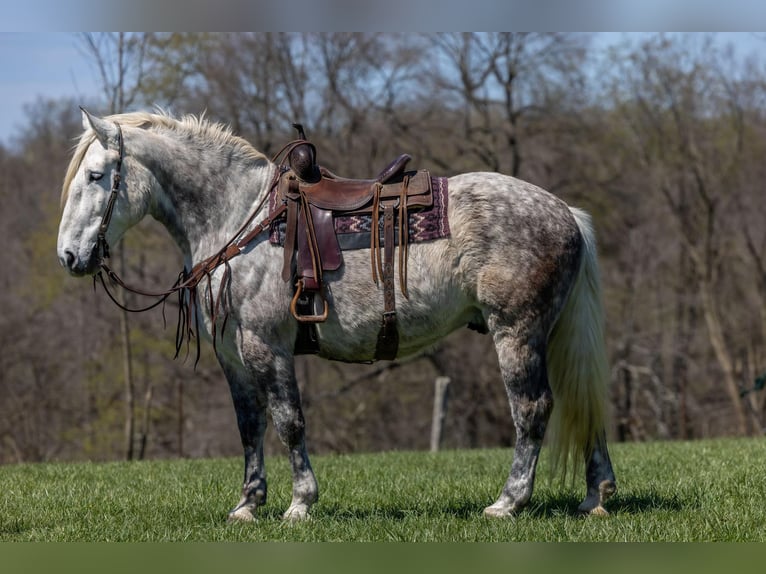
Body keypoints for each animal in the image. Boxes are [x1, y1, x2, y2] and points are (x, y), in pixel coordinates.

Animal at [57, 110, 616, 524]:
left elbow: (289, 422)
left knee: (533, 409)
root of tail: (565, 212)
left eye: (95, 176)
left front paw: (300, 503)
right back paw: (597, 496)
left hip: (516, 333)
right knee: (582, 400)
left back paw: (508, 502)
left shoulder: (267, 346)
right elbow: (249, 425)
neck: (238, 217)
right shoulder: (233, 355)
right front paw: (248, 505)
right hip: (550, 334)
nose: (68, 256)